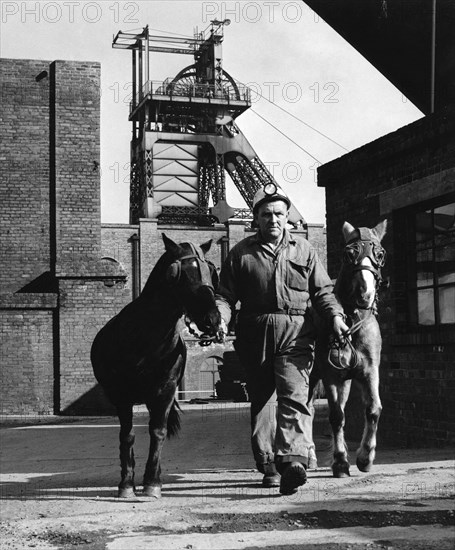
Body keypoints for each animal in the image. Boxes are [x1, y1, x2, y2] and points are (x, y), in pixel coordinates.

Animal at [90, 234, 222, 500]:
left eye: (211, 272)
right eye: (180, 272)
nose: (212, 319)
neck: (146, 337)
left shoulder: (165, 391)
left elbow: (158, 432)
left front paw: (152, 482)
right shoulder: (121, 395)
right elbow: (127, 435)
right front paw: (126, 484)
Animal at [312, 220, 390, 478]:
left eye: (380, 254)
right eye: (349, 254)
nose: (365, 294)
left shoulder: (370, 372)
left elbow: (373, 409)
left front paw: (365, 458)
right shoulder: (331, 376)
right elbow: (337, 416)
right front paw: (340, 461)